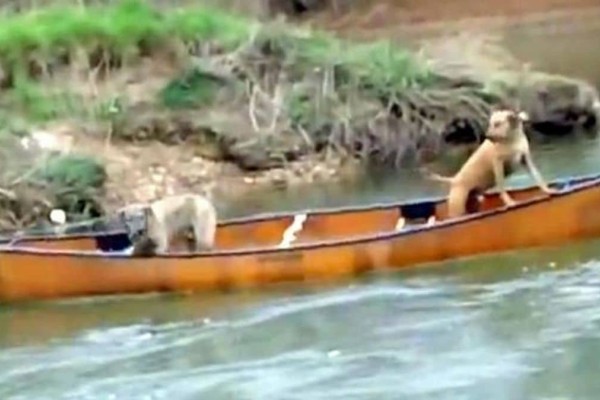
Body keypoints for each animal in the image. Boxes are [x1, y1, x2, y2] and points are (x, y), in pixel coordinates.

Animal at [422, 108, 556, 217]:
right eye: (490, 124)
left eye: (498, 124)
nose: (488, 136)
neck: (512, 141)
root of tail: (454, 180)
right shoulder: (498, 164)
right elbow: (502, 187)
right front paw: (509, 202)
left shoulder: (526, 160)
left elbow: (538, 177)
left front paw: (548, 190)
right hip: (457, 208)